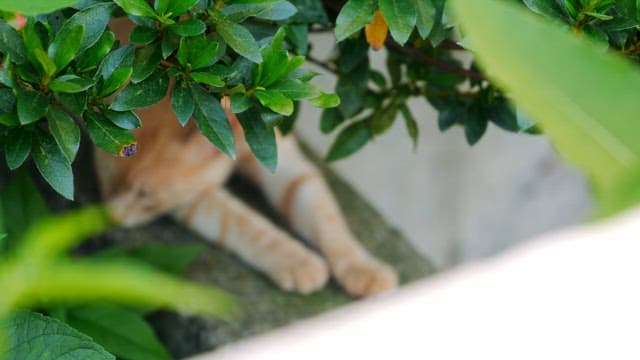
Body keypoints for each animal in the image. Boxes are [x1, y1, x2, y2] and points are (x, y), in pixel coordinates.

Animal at [92, 18, 398, 296]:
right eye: (106, 178)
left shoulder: (285, 161)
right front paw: (297, 261)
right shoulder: (194, 195)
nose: (110, 217)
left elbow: (325, 215)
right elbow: (243, 224)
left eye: (145, 195)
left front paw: (363, 268)